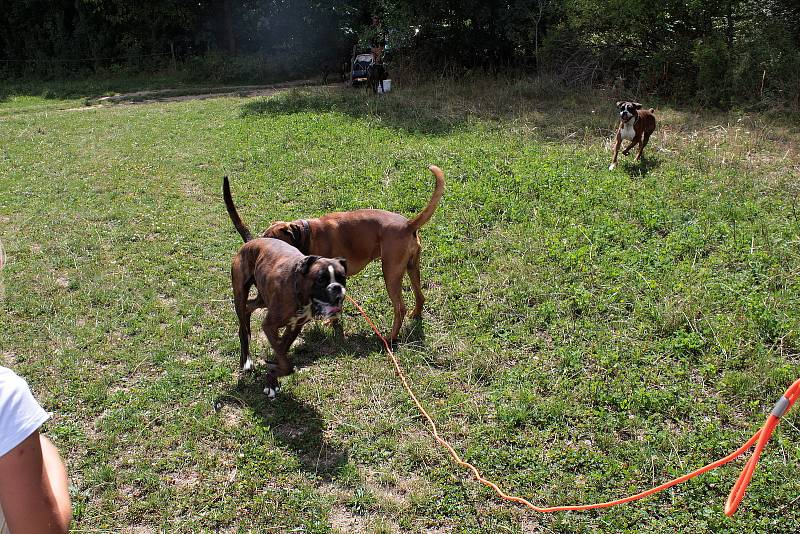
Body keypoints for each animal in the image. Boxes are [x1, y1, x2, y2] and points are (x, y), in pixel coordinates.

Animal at [225, 165, 446, 346]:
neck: (307, 234)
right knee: (420, 295)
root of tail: (409, 224)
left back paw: (390, 338)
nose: (257, 247)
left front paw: (332, 322)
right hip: (412, 268)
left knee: (400, 307)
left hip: (390, 273)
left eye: (272, 240)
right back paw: (416, 314)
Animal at [227, 182, 348, 400]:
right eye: (321, 280)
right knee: (242, 325)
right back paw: (246, 359)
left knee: (249, 307)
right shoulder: (269, 325)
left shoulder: (294, 327)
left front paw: (272, 376)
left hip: (262, 297)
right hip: (239, 293)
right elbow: (284, 359)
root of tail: (251, 241)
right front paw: (274, 375)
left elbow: (281, 352)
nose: (337, 288)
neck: (300, 292)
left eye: (342, 277)